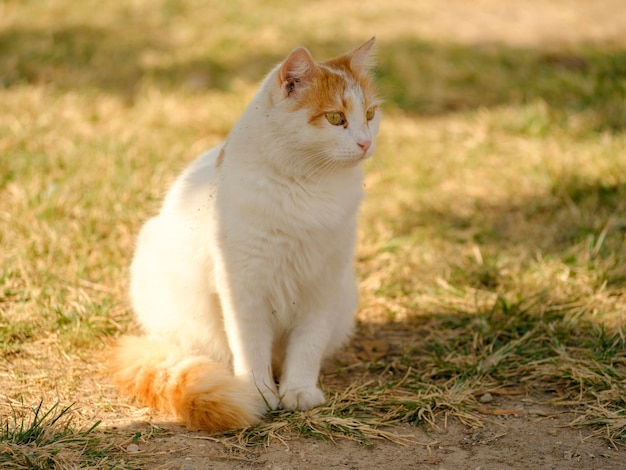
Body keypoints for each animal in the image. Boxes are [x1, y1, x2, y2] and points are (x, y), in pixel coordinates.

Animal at [109, 38, 378, 432]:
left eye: (370, 115)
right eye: (335, 118)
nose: (365, 143)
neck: (309, 188)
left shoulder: (323, 284)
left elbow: (307, 346)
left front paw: (299, 391)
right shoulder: (244, 287)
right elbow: (250, 347)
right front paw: (259, 393)